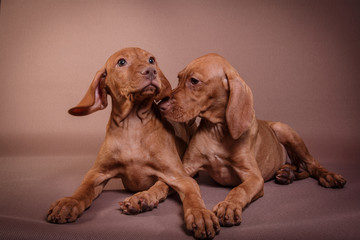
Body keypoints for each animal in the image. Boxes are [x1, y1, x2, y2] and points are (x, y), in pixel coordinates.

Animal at [46, 47, 221, 239]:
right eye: (121, 62)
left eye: (151, 60)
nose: (151, 71)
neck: (133, 125)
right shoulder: (96, 173)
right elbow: (83, 189)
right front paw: (69, 203)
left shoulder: (180, 177)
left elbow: (192, 196)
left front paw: (200, 214)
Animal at [160, 53, 346, 227]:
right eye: (179, 78)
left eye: (194, 81)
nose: (160, 106)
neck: (217, 130)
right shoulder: (186, 167)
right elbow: (166, 182)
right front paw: (153, 194)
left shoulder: (254, 177)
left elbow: (240, 189)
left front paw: (229, 205)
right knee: (298, 165)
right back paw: (287, 174)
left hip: (284, 129)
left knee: (311, 163)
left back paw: (328, 176)